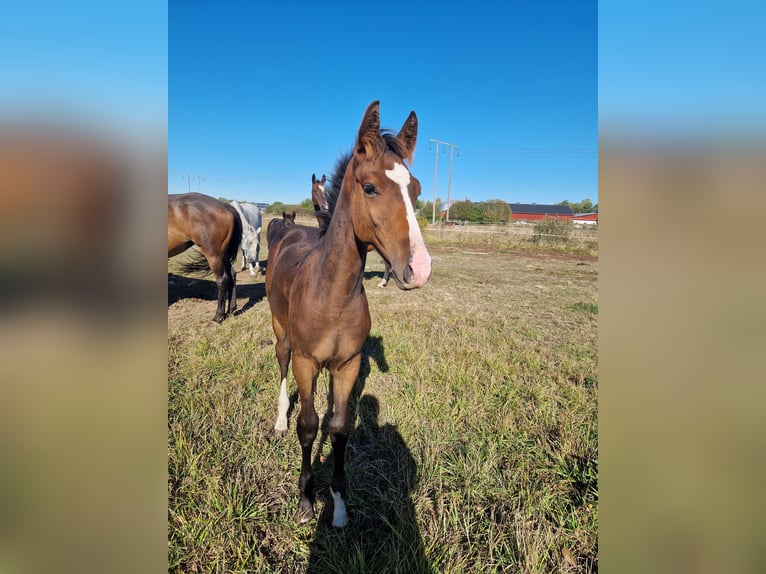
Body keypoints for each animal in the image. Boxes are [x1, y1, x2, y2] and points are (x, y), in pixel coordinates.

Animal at [168, 195, 243, 324]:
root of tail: (224, 205)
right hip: (222, 254)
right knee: (232, 275)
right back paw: (230, 310)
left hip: (214, 255)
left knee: (223, 280)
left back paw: (217, 317)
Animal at [264, 101, 432, 528]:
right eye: (369, 187)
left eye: (416, 190)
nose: (420, 269)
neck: (333, 296)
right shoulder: (307, 362)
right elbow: (309, 427)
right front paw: (306, 501)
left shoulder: (348, 365)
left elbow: (338, 428)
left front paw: (339, 505)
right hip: (281, 331)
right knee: (281, 363)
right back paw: (279, 419)